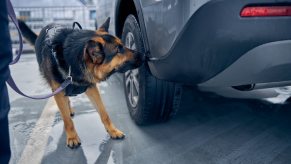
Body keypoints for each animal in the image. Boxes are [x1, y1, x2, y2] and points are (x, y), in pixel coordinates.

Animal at [18, 18, 144, 149]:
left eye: (123, 45)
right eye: (118, 50)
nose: (143, 55)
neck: (71, 61)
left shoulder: (92, 88)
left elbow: (104, 113)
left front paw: (113, 131)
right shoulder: (58, 91)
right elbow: (67, 121)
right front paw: (72, 137)